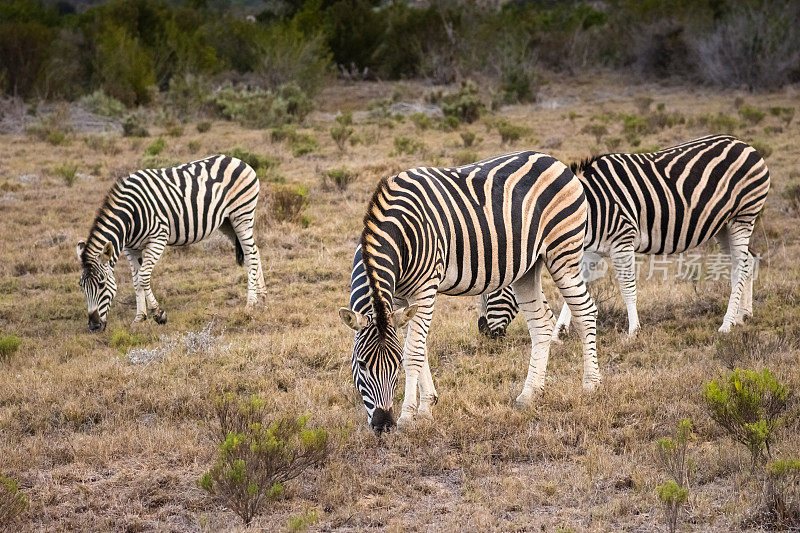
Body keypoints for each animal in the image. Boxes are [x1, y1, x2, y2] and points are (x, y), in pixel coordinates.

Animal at [76, 152, 268, 332]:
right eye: (82, 286)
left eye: (101, 284)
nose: (94, 326)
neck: (130, 217)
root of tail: (238, 160)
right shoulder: (131, 248)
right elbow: (136, 280)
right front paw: (139, 318)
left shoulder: (158, 238)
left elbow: (144, 277)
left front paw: (159, 314)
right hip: (227, 222)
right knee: (254, 250)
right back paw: (263, 296)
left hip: (242, 214)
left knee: (250, 254)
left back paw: (251, 303)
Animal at [340, 150, 600, 432]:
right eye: (362, 364)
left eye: (395, 364)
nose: (384, 424)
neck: (400, 233)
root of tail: (555, 161)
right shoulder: (398, 298)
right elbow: (420, 348)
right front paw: (427, 406)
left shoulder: (424, 289)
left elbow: (413, 352)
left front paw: (409, 417)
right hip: (528, 268)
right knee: (542, 324)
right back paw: (529, 395)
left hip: (563, 252)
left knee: (586, 312)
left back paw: (591, 385)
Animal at [478, 135, 772, 338]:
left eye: (494, 291)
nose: (482, 331)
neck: (589, 207)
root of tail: (747, 145)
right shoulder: (591, 248)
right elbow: (576, 288)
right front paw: (560, 331)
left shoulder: (622, 240)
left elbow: (627, 287)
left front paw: (633, 330)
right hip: (722, 225)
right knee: (749, 261)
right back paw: (744, 315)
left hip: (743, 216)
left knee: (739, 267)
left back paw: (727, 324)